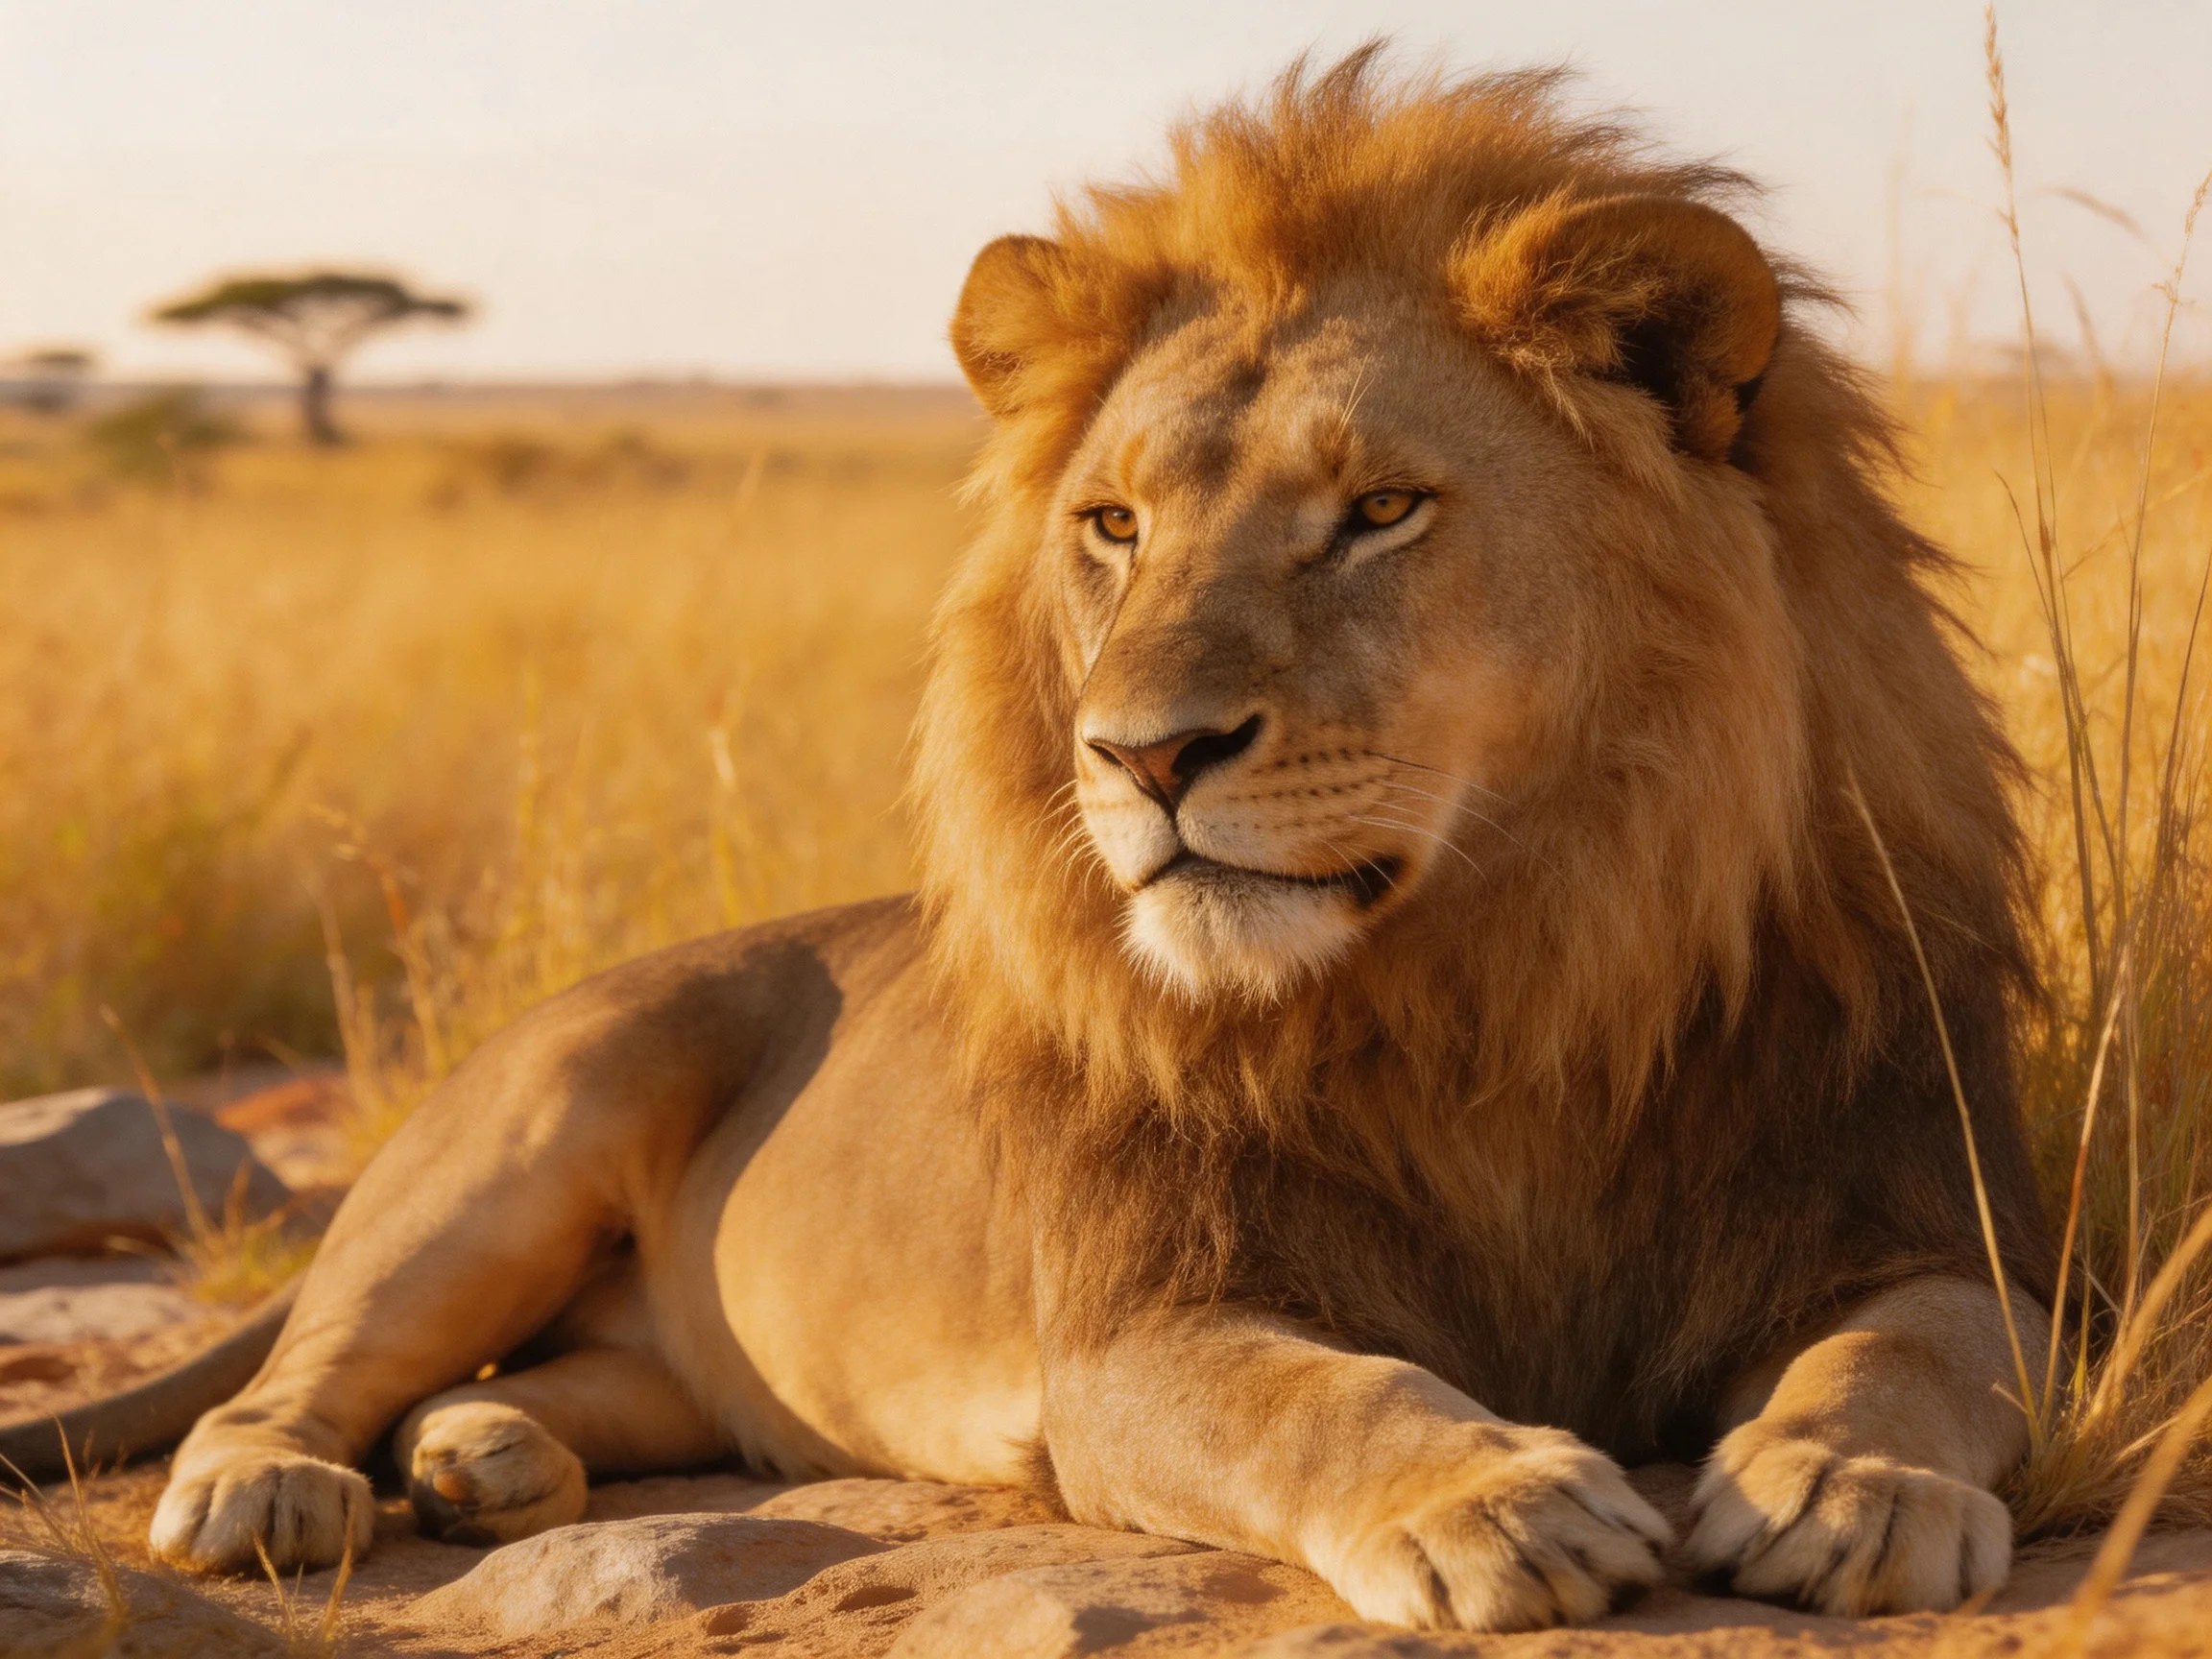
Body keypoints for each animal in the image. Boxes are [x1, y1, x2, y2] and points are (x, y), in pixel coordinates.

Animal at [111, 53, 2053, 1632]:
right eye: (1113, 525)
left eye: (1379, 510)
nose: (1141, 753)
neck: (1501, 972)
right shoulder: (1133, 1335)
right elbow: (1319, 1397)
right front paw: (1498, 1499)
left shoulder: (1933, 1212)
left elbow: (1918, 1345)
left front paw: (1849, 1483)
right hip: (529, 1129)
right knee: (305, 1369)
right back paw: (271, 1488)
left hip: (667, 1362)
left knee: (573, 1385)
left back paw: (487, 1456)